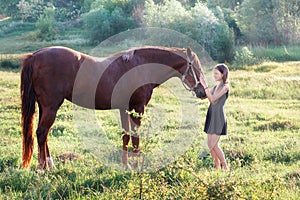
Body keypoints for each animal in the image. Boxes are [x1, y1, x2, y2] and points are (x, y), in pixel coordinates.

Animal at [19, 46, 205, 170]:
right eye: (196, 67)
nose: (203, 92)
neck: (140, 66)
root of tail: (35, 56)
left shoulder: (124, 108)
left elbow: (126, 136)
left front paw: (126, 165)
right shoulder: (138, 108)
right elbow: (135, 137)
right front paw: (136, 165)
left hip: (45, 107)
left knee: (43, 134)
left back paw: (49, 164)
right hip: (51, 107)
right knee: (42, 132)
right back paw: (43, 168)